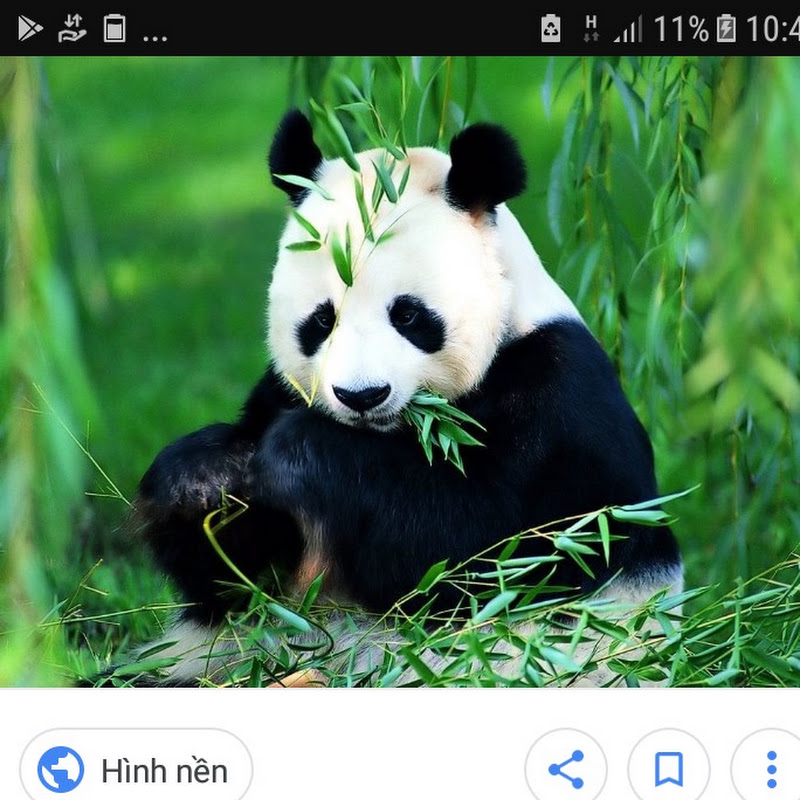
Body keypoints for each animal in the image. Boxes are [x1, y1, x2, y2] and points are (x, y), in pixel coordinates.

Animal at [132, 109, 682, 686]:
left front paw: (299, 452)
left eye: (409, 315)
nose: (361, 395)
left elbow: (476, 550)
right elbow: (238, 581)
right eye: (322, 320)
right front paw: (203, 478)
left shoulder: (560, 403)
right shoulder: (280, 392)